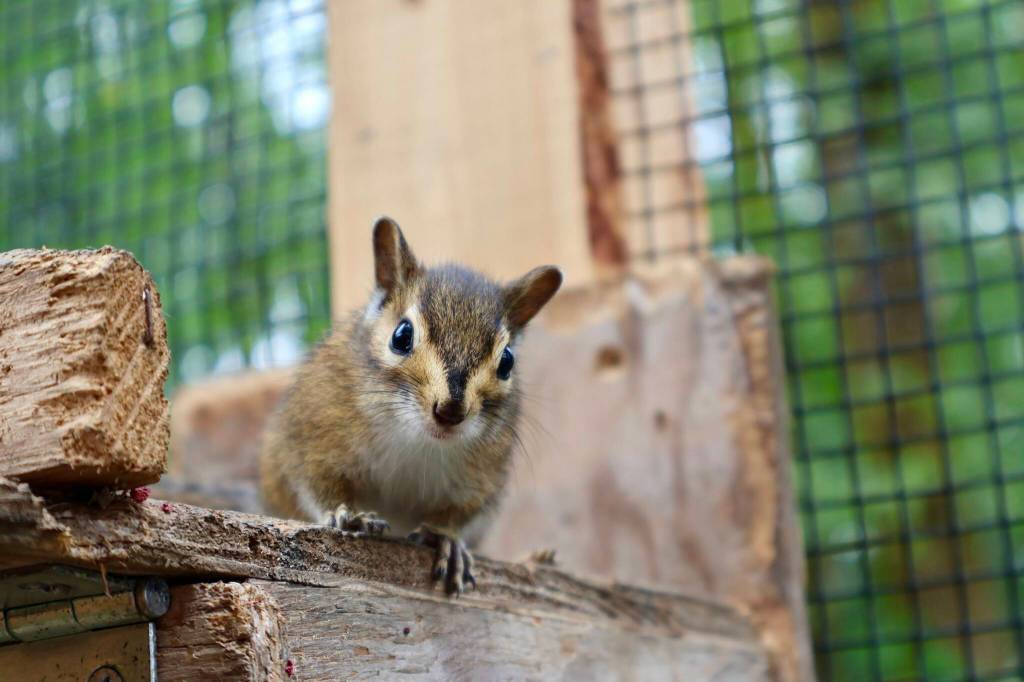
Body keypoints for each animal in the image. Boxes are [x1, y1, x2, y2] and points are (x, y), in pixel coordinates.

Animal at [259, 216, 562, 594]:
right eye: (401, 336)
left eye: (507, 361)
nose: (450, 411)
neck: (415, 438)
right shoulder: (313, 440)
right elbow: (318, 484)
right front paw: (349, 513)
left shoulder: (481, 481)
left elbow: (461, 513)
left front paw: (447, 539)